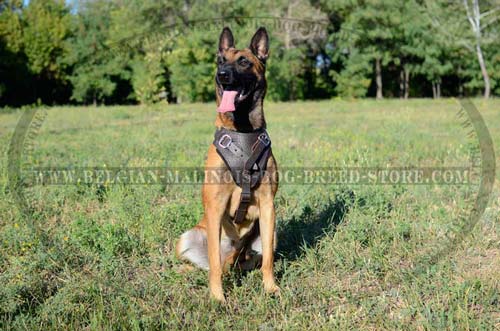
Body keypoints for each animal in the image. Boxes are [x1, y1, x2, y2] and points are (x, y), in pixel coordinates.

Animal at [176, 27, 280, 304]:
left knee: (247, 260)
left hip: (270, 231)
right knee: (211, 264)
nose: (221, 75)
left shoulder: (268, 205)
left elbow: (268, 259)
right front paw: (217, 297)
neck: (242, 131)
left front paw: (270, 287)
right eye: (220, 61)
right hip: (188, 237)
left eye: (243, 61)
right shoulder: (215, 206)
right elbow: (212, 262)